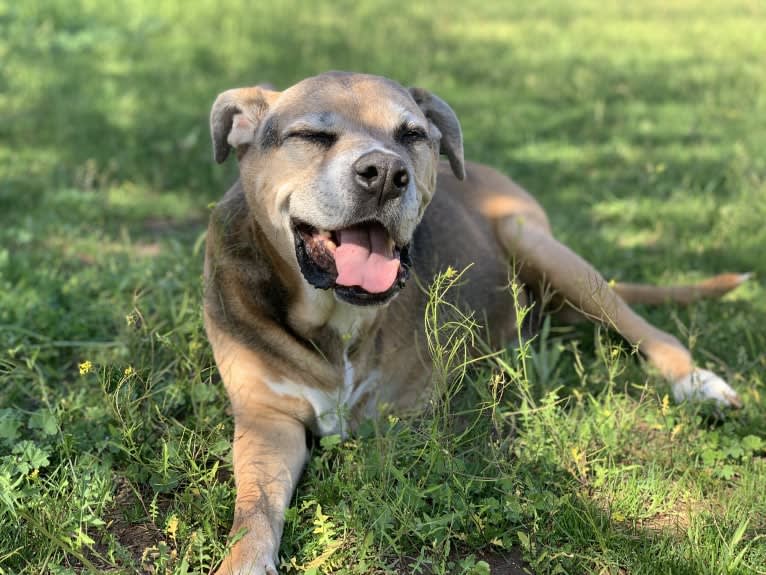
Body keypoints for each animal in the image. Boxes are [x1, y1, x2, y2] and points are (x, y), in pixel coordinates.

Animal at [206, 72, 752, 575]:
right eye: (312, 136)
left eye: (411, 134)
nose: (384, 173)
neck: (336, 318)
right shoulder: (266, 419)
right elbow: (253, 511)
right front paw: (243, 561)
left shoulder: (402, 422)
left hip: (534, 242)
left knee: (651, 331)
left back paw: (697, 382)